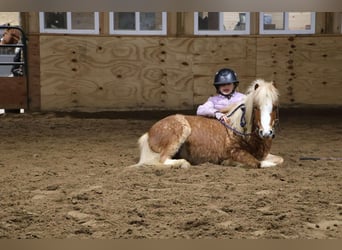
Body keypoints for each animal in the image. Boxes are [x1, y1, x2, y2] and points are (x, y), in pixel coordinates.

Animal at [131, 79, 284, 169]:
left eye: (275, 107)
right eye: (256, 107)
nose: (266, 133)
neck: (239, 130)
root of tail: (149, 133)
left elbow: (280, 159)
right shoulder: (236, 152)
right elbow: (259, 163)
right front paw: (230, 162)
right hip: (180, 131)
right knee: (162, 160)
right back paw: (183, 163)